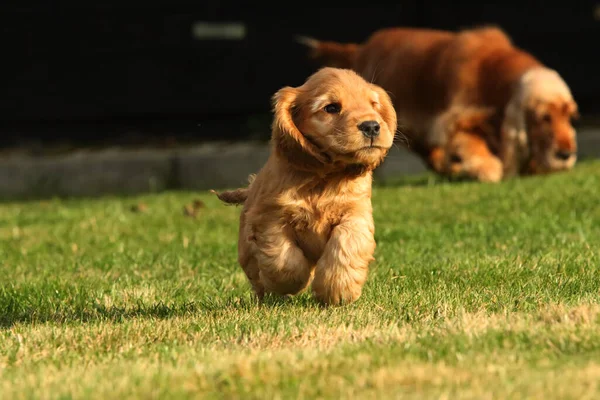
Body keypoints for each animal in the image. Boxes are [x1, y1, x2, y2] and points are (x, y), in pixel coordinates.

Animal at [213, 68, 396, 306]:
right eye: (331, 108)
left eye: (373, 105)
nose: (372, 126)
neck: (324, 178)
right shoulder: (270, 218)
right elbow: (283, 259)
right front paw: (292, 283)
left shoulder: (356, 214)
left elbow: (346, 243)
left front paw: (338, 290)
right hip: (246, 250)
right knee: (256, 277)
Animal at [300, 26, 580, 180]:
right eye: (544, 118)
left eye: (570, 116)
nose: (566, 154)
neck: (490, 72)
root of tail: (361, 48)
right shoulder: (451, 120)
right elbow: (473, 146)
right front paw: (488, 169)